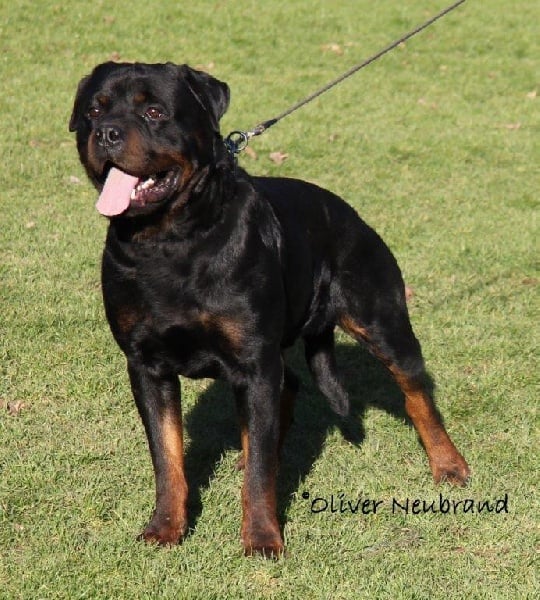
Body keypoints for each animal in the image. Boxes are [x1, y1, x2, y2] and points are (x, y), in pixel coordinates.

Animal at [69, 61, 470, 556]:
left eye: (155, 111)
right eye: (93, 110)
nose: (105, 132)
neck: (170, 241)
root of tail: (351, 213)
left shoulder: (253, 363)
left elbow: (259, 473)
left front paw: (262, 538)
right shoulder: (147, 366)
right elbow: (167, 458)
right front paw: (165, 527)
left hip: (382, 318)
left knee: (416, 392)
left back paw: (448, 463)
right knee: (290, 386)